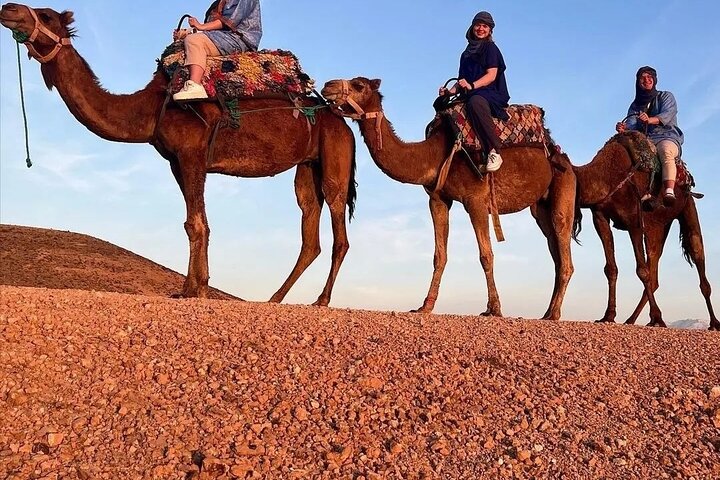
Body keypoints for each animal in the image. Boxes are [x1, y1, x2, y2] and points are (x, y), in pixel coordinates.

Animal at [0, 3, 360, 304]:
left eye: (46, 15)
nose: (9, 9)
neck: (152, 106)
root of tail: (341, 121)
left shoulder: (192, 153)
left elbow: (197, 222)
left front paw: (195, 290)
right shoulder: (175, 161)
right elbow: (192, 222)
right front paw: (191, 287)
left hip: (335, 155)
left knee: (338, 224)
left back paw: (321, 301)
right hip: (306, 166)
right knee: (309, 224)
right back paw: (274, 298)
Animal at [324, 78, 576, 318]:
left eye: (358, 85)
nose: (328, 86)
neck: (433, 155)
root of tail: (560, 155)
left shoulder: (476, 199)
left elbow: (486, 255)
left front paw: (494, 308)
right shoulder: (438, 199)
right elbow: (440, 255)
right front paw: (425, 306)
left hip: (564, 186)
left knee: (563, 244)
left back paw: (553, 314)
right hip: (540, 208)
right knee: (555, 251)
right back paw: (548, 312)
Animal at [572, 133, 716, 332]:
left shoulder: (634, 220)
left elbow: (642, 271)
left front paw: (658, 317)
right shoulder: (600, 218)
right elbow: (611, 268)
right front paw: (608, 316)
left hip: (688, 207)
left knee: (697, 254)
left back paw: (714, 323)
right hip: (658, 226)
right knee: (654, 267)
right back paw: (632, 319)